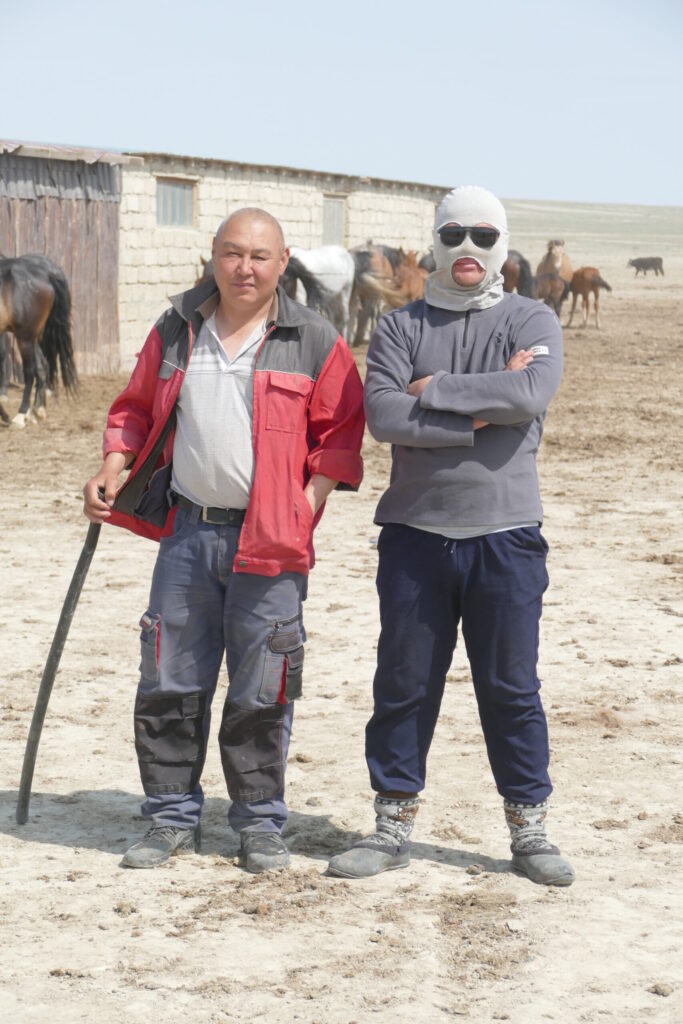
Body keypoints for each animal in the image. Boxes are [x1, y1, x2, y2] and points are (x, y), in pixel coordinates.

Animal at [0, 255, 77, 428]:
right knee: (42, 365)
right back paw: (37, 410)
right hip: (30, 337)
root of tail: (46, 274)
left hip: (25, 336)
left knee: (30, 372)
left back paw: (21, 414)